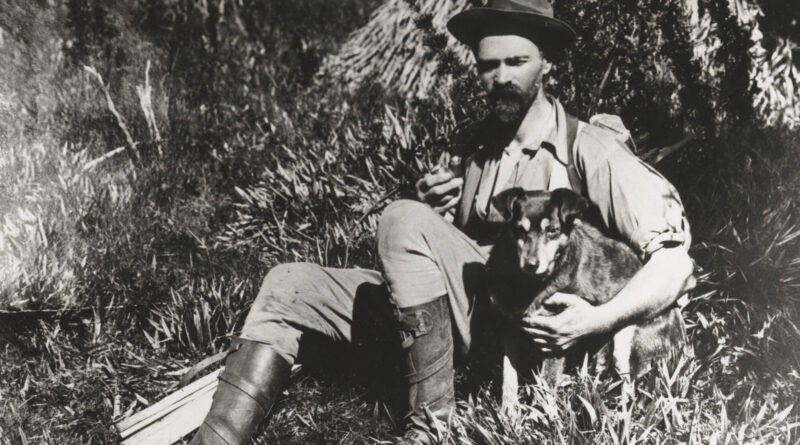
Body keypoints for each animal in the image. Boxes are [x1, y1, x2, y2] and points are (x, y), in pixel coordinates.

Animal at [484, 186, 684, 410]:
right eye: (519, 229)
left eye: (552, 230)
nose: (531, 265)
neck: (526, 283)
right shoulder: (509, 329)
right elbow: (508, 377)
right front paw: (508, 413)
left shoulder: (553, 337)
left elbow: (546, 384)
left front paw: (542, 415)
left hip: (626, 340)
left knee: (631, 392)